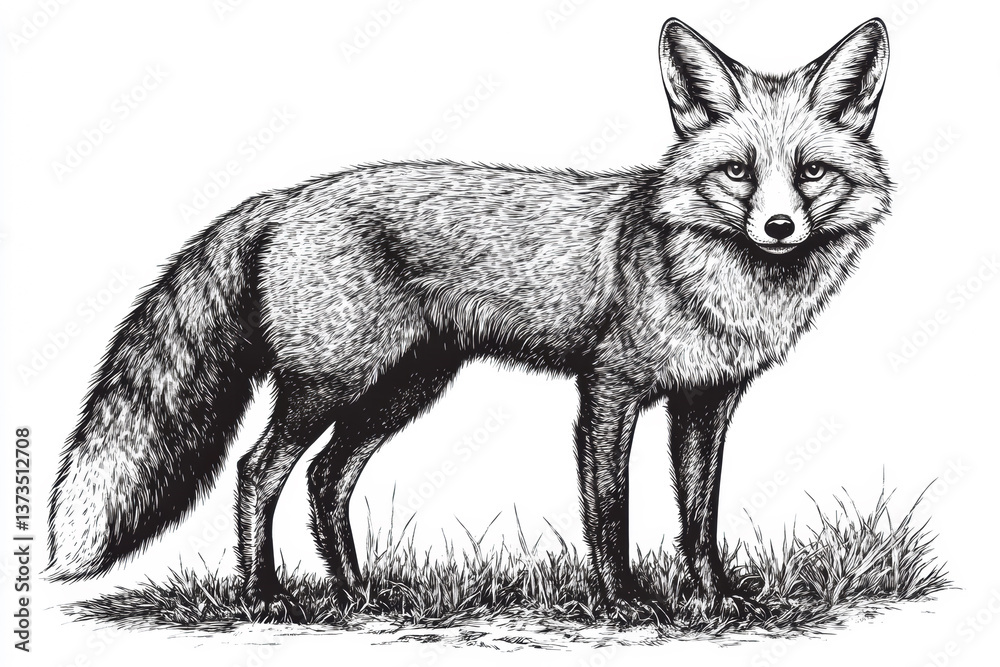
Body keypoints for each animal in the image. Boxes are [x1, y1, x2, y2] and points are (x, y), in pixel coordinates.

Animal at [48, 17, 891, 619]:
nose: (778, 227)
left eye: (811, 172)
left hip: (404, 388)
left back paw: (357, 591)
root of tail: (286, 196)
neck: (714, 284)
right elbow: (609, 510)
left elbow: (699, 517)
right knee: (259, 470)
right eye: (739, 171)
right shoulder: (608, 391)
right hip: (330, 383)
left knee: (326, 475)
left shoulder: (706, 402)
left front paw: (712, 599)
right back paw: (266, 595)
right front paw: (621, 602)